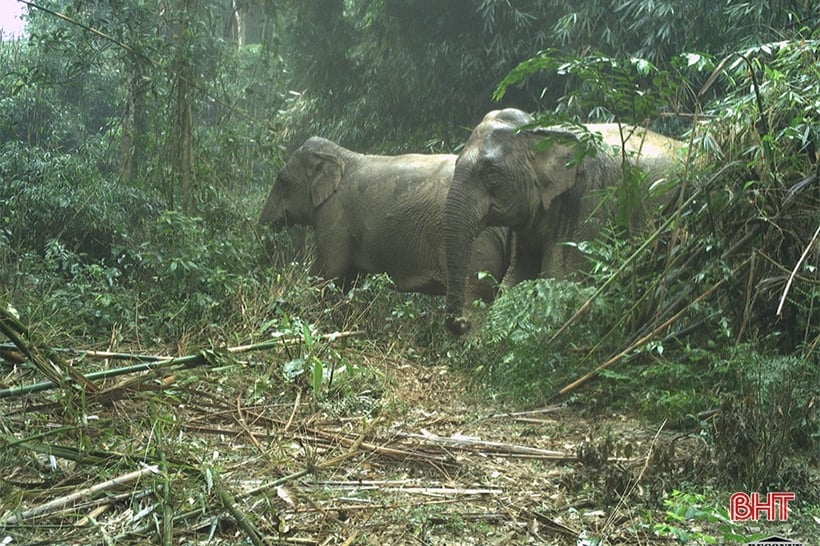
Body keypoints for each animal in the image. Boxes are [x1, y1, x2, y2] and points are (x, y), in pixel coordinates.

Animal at [260, 136, 510, 306]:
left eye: (282, 181)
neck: (341, 155)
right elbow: (350, 278)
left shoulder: (336, 216)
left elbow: (329, 271)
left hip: (476, 244)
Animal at [442, 108, 684, 334]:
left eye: (492, 174)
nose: (464, 322)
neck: (545, 129)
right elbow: (516, 278)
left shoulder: (588, 198)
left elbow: (561, 277)